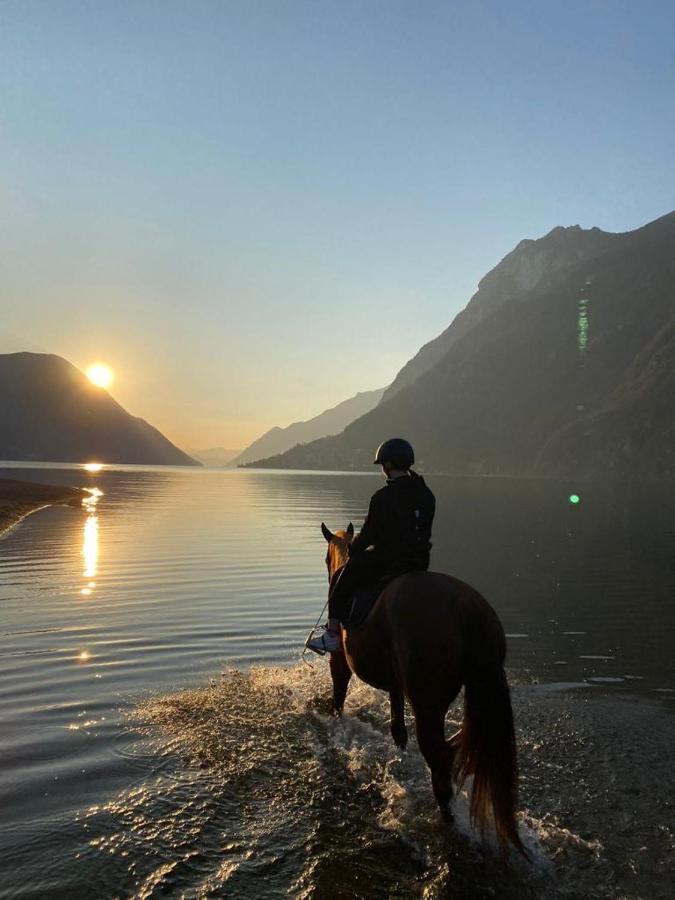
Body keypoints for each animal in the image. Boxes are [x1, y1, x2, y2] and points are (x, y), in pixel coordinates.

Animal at [322, 520, 528, 856]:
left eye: (327, 559)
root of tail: (466, 608)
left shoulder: (339, 659)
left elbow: (338, 694)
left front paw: (335, 722)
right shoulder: (395, 677)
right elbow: (394, 698)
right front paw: (397, 734)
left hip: (428, 707)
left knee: (440, 763)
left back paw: (447, 822)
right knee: (463, 743)